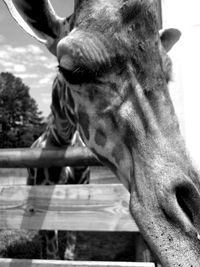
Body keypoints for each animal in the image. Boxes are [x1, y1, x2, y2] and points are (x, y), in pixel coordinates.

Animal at [3, 0, 200, 267]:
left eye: (167, 73)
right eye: (70, 70)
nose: (192, 241)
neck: (62, 139)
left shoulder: (78, 192)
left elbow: (69, 249)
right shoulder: (44, 196)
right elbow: (53, 250)